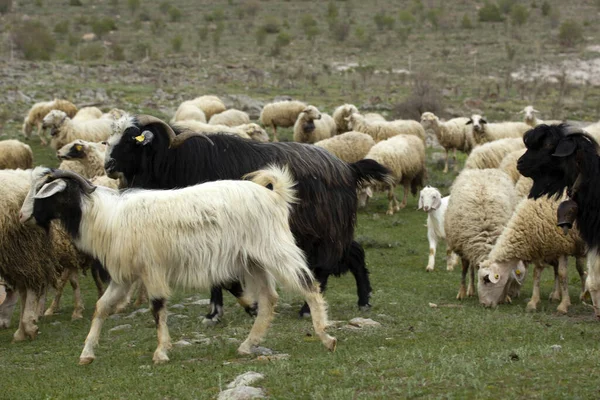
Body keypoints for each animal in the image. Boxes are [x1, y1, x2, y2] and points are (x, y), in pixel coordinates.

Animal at [105, 115, 392, 322]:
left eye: (132, 139)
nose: (108, 166)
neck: (176, 162)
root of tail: (348, 167)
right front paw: (217, 312)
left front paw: (227, 311)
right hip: (328, 230)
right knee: (354, 253)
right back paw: (363, 301)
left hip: (325, 230)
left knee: (325, 267)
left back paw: (307, 310)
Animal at [446, 168, 520, 300]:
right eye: (487, 281)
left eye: (507, 281)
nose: (501, 301)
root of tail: (481, 170)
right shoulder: (462, 246)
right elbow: (464, 270)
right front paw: (461, 292)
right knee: (470, 268)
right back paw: (470, 289)